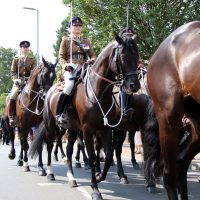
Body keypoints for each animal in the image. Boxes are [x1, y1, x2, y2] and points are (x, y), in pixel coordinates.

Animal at [28, 33, 141, 200]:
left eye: (137, 55)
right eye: (124, 56)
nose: (135, 86)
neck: (98, 91)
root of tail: (48, 92)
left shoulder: (105, 128)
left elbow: (108, 156)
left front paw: (100, 177)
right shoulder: (88, 130)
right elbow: (93, 157)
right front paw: (95, 189)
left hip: (72, 128)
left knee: (68, 150)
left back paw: (71, 178)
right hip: (51, 126)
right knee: (48, 146)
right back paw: (50, 172)